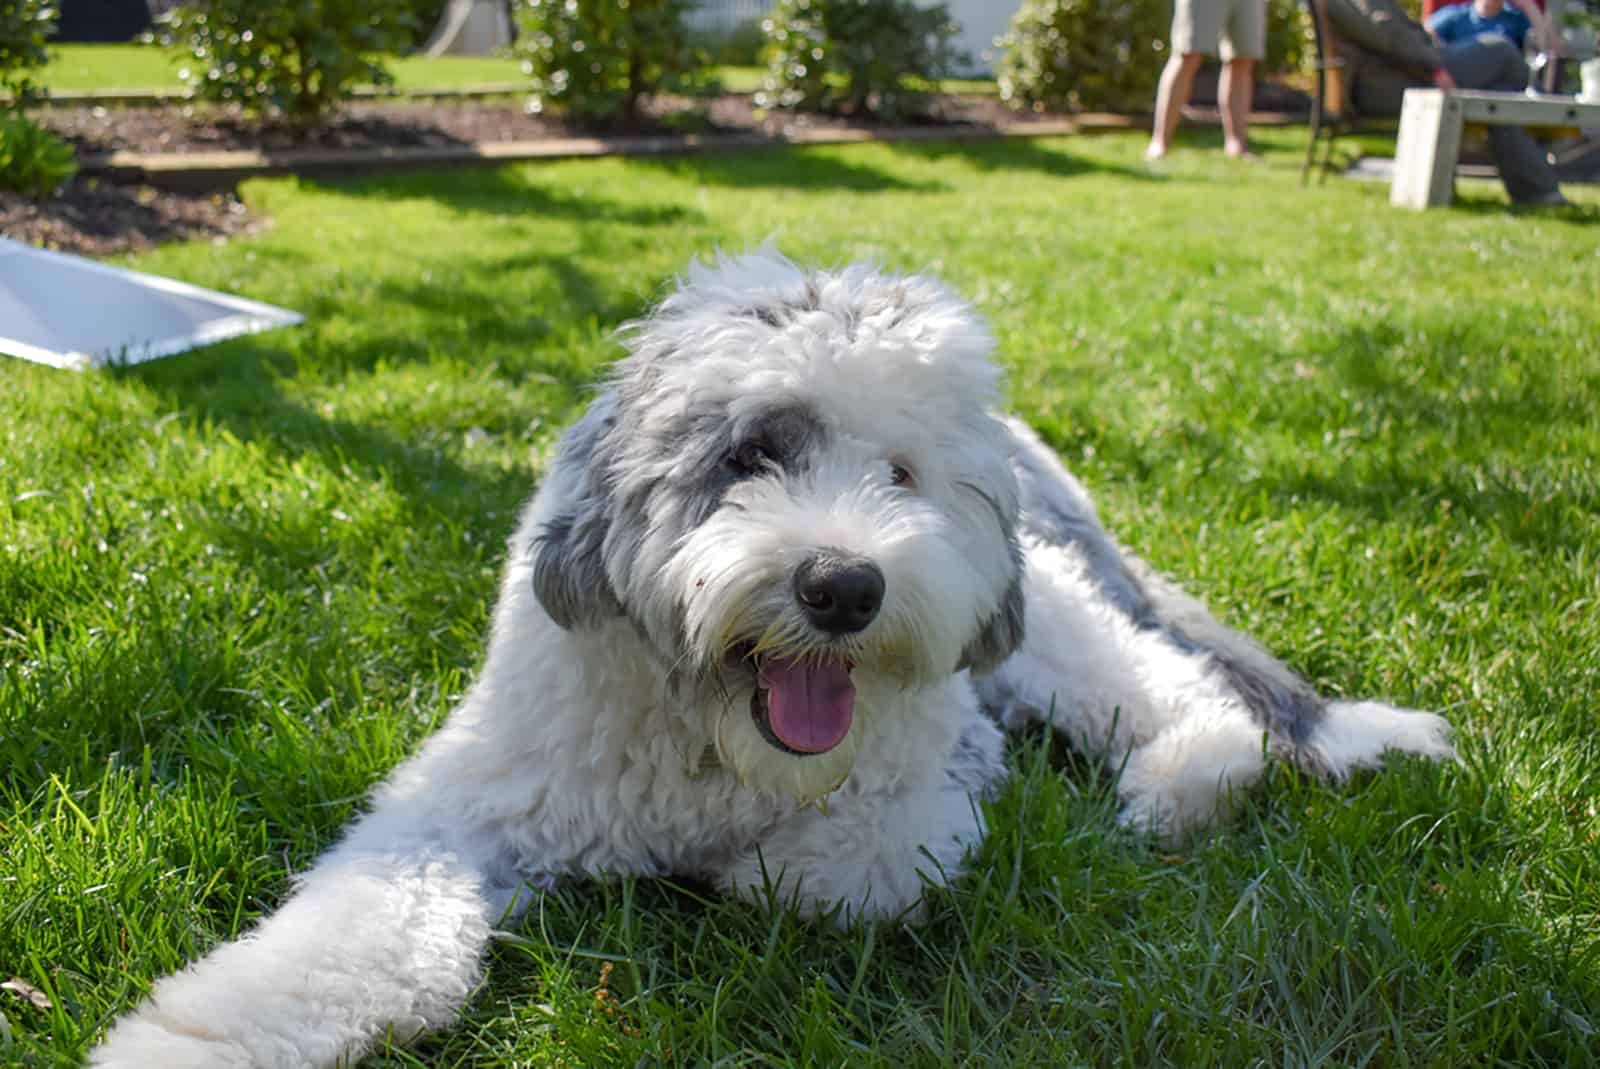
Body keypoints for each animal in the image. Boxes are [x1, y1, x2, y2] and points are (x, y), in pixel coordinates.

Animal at [93, 252, 1459, 1069]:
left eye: (898, 472)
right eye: (748, 455)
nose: (844, 587)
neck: (714, 741)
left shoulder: (939, 778)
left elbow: (843, 870)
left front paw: (750, 872)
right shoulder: (456, 805)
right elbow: (353, 931)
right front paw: (195, 1041)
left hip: (1047, 626)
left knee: (1175, 691)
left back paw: (1184, 783)